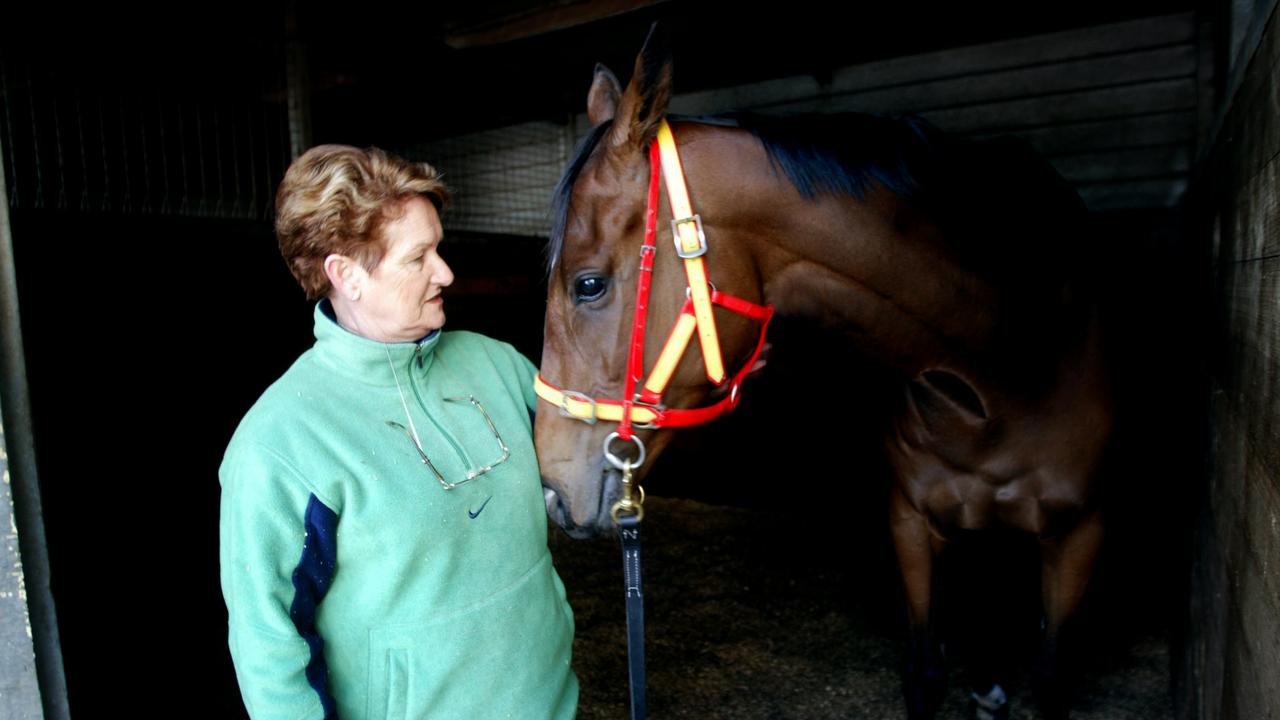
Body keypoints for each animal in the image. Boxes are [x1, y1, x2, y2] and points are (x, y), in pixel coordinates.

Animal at [529, 26, 1111, 717]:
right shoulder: (911, 524)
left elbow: (1050, 680)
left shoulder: (1078, 537)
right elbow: (925, 671)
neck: (1000, 363)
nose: (549, 489)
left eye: (588, 284)